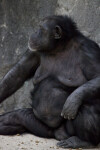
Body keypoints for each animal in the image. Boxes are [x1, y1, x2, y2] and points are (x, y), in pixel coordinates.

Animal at [0, 15, 100, 149]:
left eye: (41, 29)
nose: (34, 33)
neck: (59, 47)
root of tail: (58, 134)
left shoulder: (89, 50)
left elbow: (96, 77)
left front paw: (73, 99)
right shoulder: (33, 51)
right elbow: (18, 73)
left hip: (68, 130)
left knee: (87, 107)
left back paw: (82, 141)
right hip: (40, 125)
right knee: (14, 118)